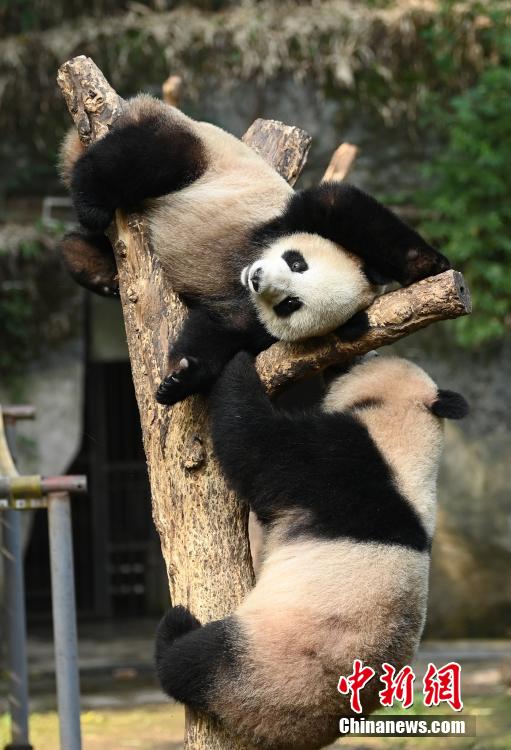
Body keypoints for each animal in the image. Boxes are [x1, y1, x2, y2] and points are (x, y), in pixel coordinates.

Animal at [61, 98, 452, 412]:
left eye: (292, 303)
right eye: (297, 262)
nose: (258, 278)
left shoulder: (253, 320)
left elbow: (221, 329)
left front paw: (182, 376)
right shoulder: (292, 219)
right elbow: (340, 204)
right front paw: (427, 264)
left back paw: (90, 264)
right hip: (195, 148)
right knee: (143, 160)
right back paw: (91, 204)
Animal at [154, 352, 470, 750]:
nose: (359, 353)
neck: (411, 433)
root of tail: (306, 732)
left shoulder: (344, 466)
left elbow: (259, 447)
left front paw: (235, 359)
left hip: (267, 667)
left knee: (196, 662)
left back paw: (174, 632)